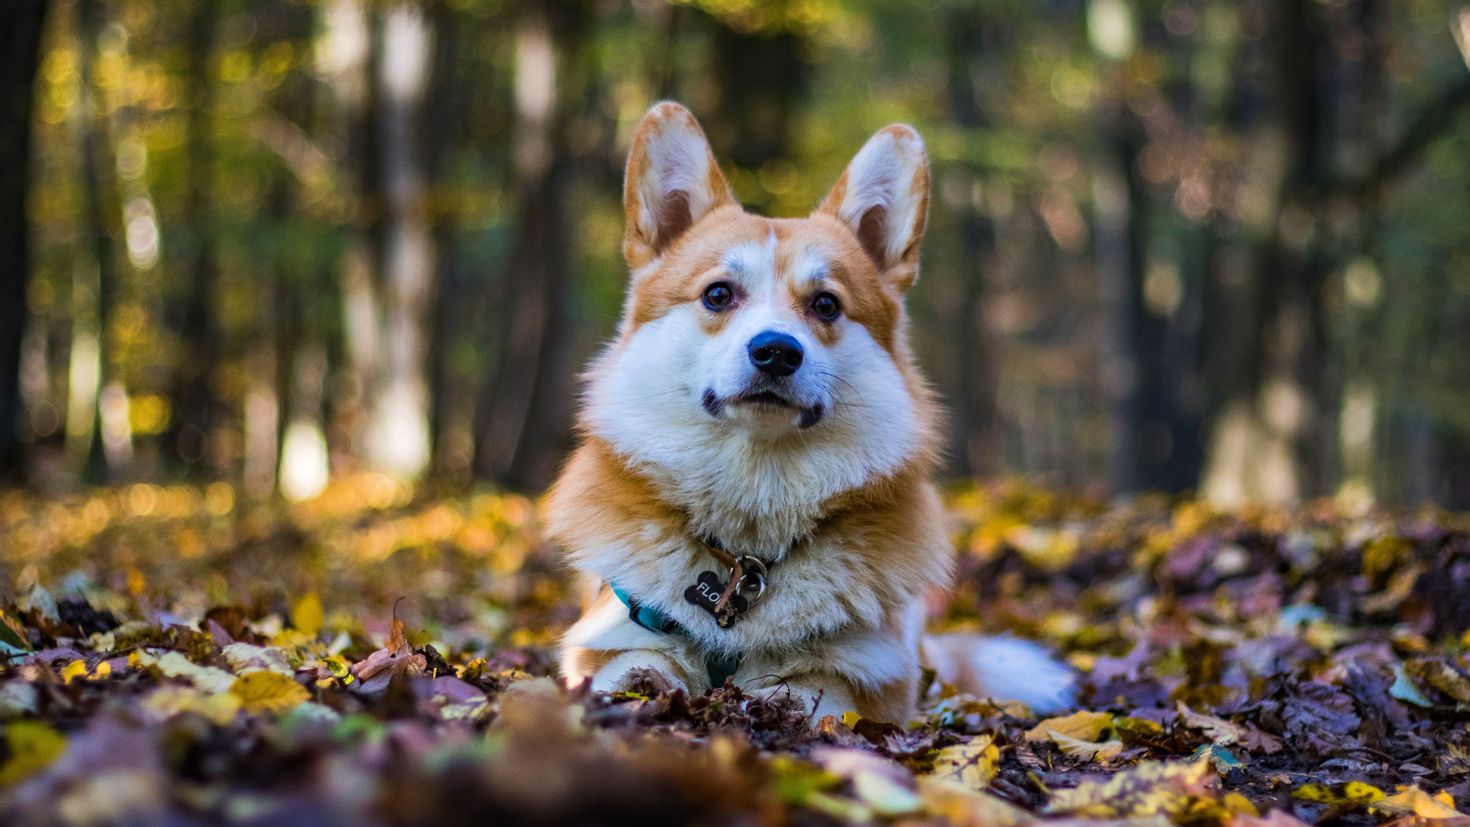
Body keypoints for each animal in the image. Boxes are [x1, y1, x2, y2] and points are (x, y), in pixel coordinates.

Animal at [546, 103, 1076, 725]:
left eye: (826, 304)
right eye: (718, 294)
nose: (776, 351)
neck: (747, 547)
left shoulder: (873, 674)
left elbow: (815, 694)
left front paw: (773, 703)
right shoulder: (610, 637)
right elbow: (627, 671)